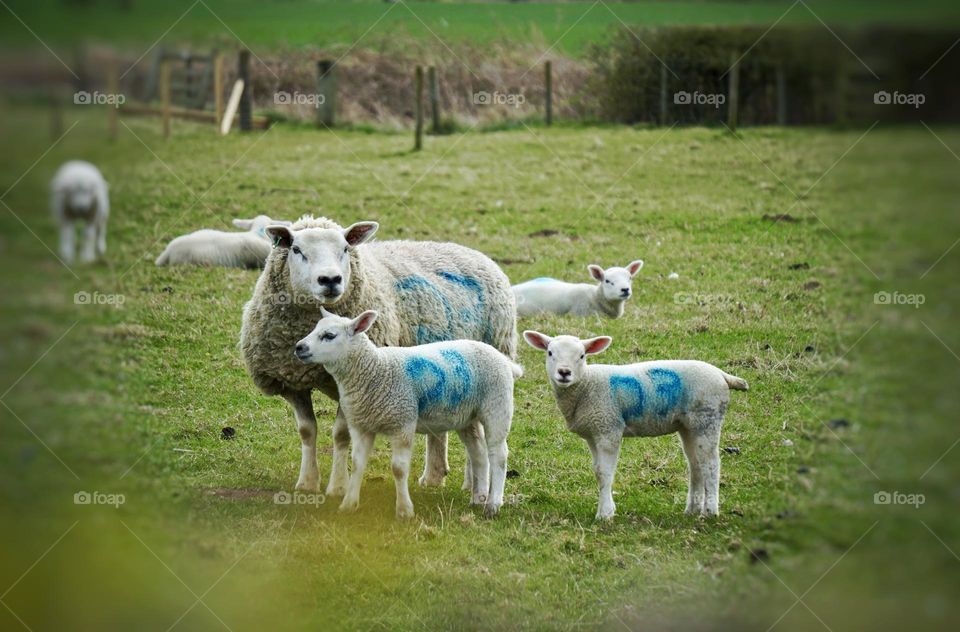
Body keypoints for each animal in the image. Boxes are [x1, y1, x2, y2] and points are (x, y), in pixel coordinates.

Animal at [239, 215, 516, 496]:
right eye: (296, 250)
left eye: (345, 248)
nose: (330, 280)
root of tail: (475, 253)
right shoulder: (292, 381)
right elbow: (307, 431)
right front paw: (307, 483)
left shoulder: (354, 382)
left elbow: (341, 434)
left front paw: (338, 486)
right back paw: (435, 478)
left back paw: (472, 484)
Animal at [296, 308, 520, 520]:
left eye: (329, 335)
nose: (299, 347)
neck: (375, 371)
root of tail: (504, 360)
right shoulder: (361, 425)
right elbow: (358, 464)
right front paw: (348, 505)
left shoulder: (402, 422)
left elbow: (399, 469)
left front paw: (404, 510)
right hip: (466, 416)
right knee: (478, 452)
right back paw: (478, 499)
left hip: (497, 406)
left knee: (498, 455)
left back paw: (493, 505)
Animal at [520, 330, 748, 520]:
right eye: (550, 352)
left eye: (582, 356)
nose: (564, 372)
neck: (586, 384)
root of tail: (722, 375)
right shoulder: (594, 432)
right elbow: (597, 471)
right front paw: (609, 508)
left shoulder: (609, 428)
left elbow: (605, 472)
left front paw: (604, 514)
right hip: (688, 426)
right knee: (696, 464)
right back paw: (692, 510)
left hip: (707, 419)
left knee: (711, 464)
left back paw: (709, 512)